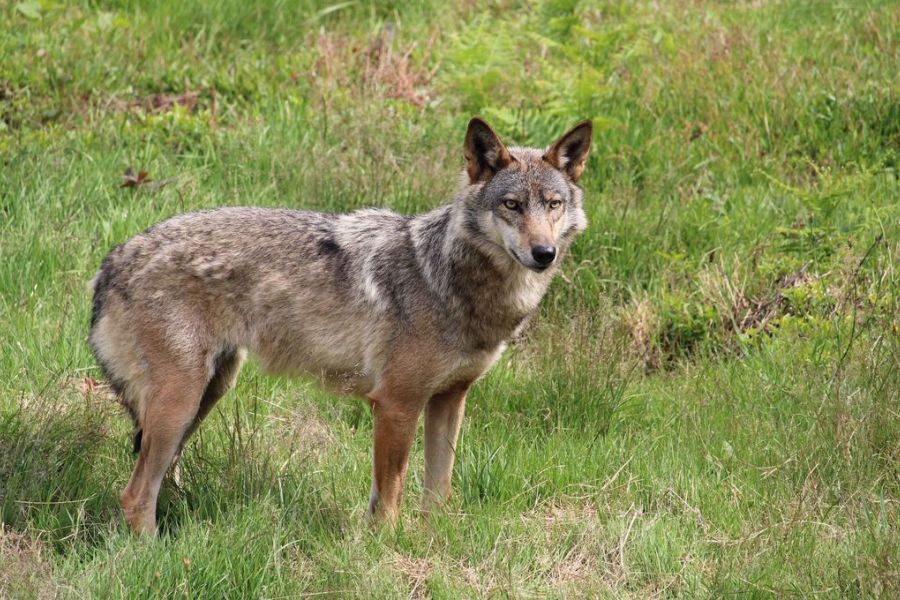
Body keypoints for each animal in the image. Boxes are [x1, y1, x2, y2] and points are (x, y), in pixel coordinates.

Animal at [88, 117, 592, 534]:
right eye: (511, 205)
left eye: (552, 204)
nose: (544, 254)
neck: (446, 279)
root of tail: (115, 258)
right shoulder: (396, 404)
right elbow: (389, 497)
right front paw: (386, 550)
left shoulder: (450, 399)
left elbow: (438, 492)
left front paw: (434, 542)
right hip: (181, 402)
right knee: (135, 495)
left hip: (208, 393)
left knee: (156, 482)